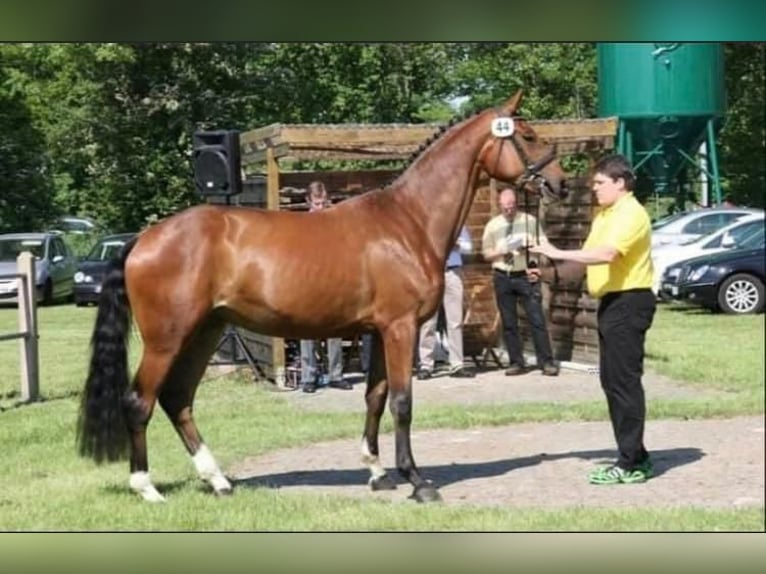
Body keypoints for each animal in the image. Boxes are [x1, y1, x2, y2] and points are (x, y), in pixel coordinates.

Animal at [79, 90, 568, 504]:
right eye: (528, 135)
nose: (559, 184)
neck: (407, 220)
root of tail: (143, 239)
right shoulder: (400, 328)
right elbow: (402, 402)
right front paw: (417, 481)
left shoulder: (378, 331)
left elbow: (375, 397)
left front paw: (377, 472)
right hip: (167, 338)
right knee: (139, 401)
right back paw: (146, 488)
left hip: (205, 332)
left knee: (177, 399)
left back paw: (218, 480)